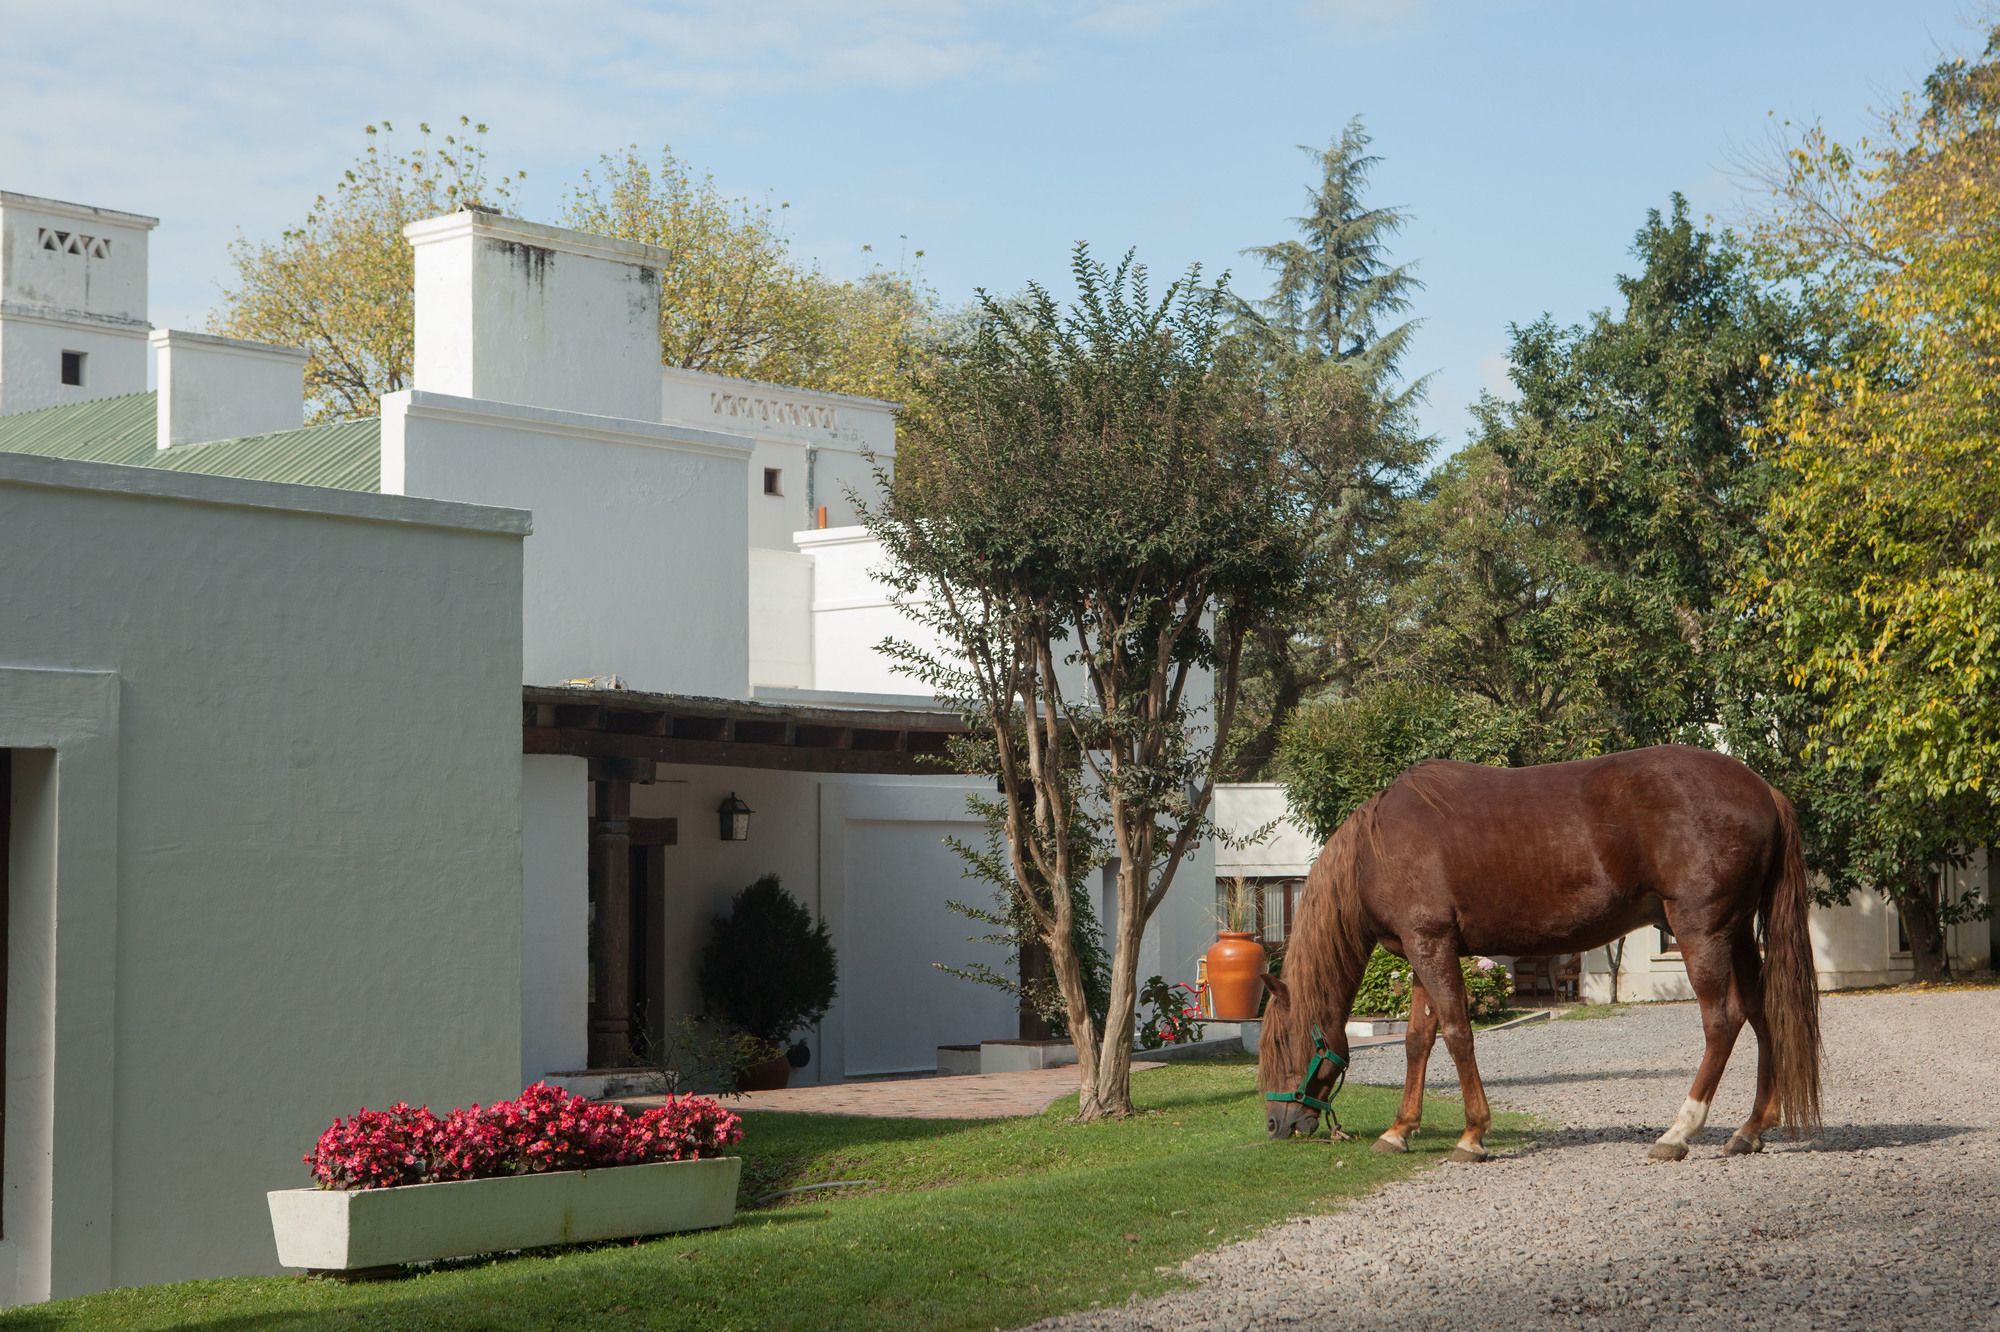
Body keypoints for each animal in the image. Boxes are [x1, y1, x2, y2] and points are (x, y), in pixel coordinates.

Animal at [1256, 740, 1824, 1160]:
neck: (1378, 848)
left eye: (1283, 1043)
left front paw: (1472, 1136)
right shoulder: (1423, 951)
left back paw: (1678, 1133)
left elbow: (1457, 1034)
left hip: (1701, 931)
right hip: (1738, 932)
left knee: (1722, 1022)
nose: (1276, 1124)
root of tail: (1763, 789)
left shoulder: (1432, 945)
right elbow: (1419, 1040)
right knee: (1762, 1014)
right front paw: (1399, 1130)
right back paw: (1750, 1129)